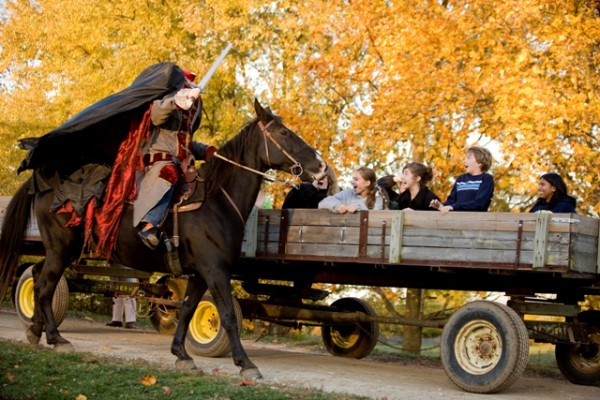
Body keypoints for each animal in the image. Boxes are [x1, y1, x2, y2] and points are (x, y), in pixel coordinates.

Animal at [0, 98, 326, 380]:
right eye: (284, 133)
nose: (320, 166)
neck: (217, 201)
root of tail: (42, 185)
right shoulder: (215, 271)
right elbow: (228, 317)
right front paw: (246, 364)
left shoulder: (200, 274)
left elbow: (186, 310)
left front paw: (182, 354)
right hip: (61, 249)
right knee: (44, 287)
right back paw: (56, 338)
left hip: (61, 251)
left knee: (39, 278)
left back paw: (35, 331)